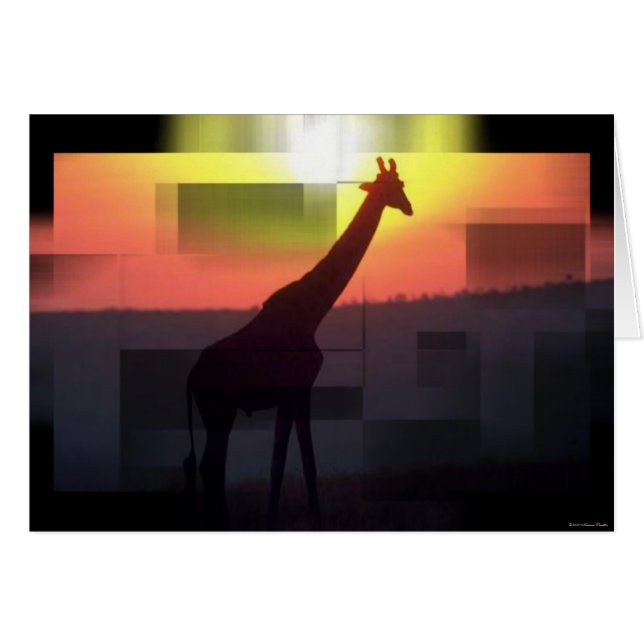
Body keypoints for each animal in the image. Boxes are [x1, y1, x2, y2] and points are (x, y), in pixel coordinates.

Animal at [184, 157, 413, 528]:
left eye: (401, 184)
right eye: (391, 187)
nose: (409, 207)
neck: (313, 313)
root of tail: (191, 378)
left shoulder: (290, 395)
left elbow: (285, 462)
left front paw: (277, 519)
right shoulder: (298, 388)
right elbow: (301, 462)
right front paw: (308, 521)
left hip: (218, 412)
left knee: (208, 464)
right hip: (218, 409)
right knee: (210, 465)